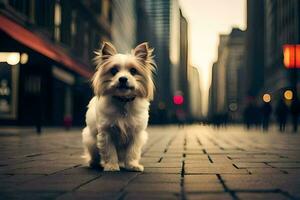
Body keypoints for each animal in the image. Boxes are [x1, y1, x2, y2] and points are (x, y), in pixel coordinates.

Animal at [82, 41, 157, 171]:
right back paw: (94, 163)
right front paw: (112, 166)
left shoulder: (136, 134)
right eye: (113, 71)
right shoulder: (106, 133)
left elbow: (132, 152)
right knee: (94, 154)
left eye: (133, 71)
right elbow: (109, 152)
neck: (123, 101)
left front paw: (132, 165)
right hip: (90, 140)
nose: (122, 79)